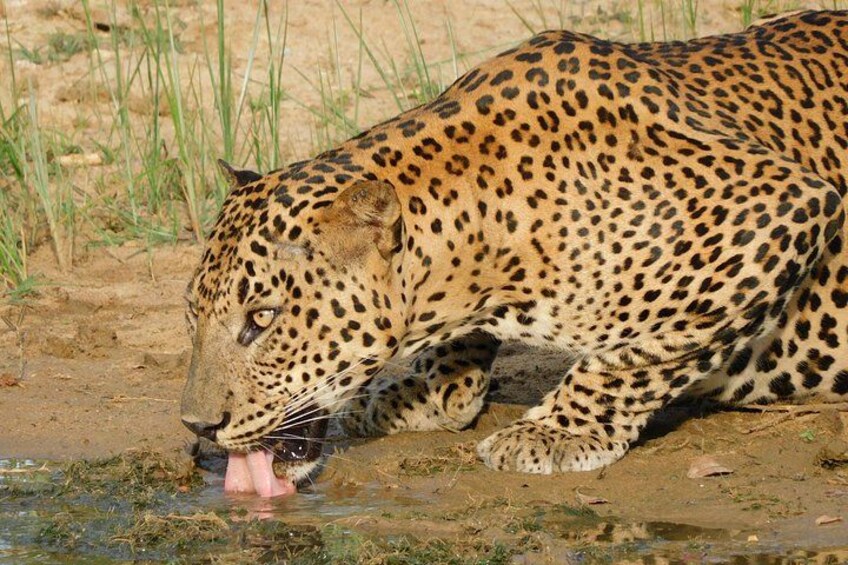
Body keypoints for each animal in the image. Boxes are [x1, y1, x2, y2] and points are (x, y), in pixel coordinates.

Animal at [180, 10, 848, 491]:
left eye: (263, 319)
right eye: (192, 314)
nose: (197, 425)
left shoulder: (785, 206)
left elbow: (635, 355)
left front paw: (554, 434)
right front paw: (426, 394)